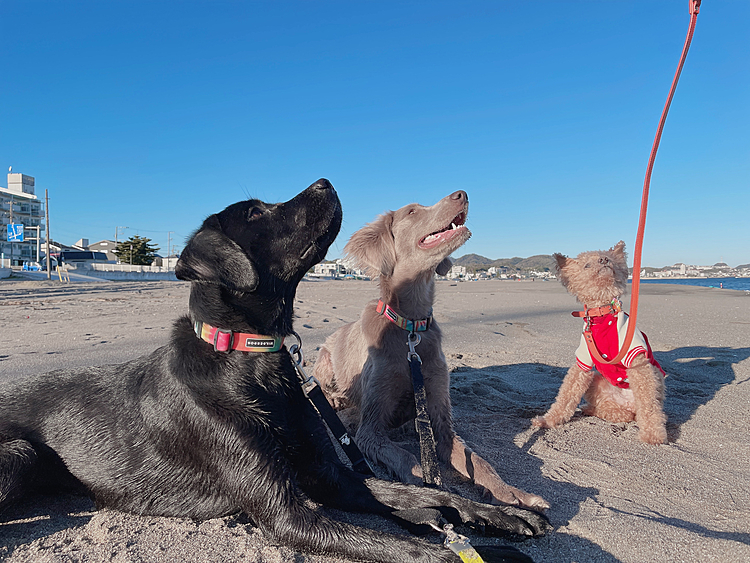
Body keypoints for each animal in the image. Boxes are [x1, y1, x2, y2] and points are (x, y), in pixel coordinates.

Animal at [1, 182, 552, 563]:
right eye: (255, 212)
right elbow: (419, 549)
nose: (325, 181)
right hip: (19, 454)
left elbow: (430, 493)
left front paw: (501, 515)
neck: (253, 361)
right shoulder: (288, 514)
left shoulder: (333, 476)